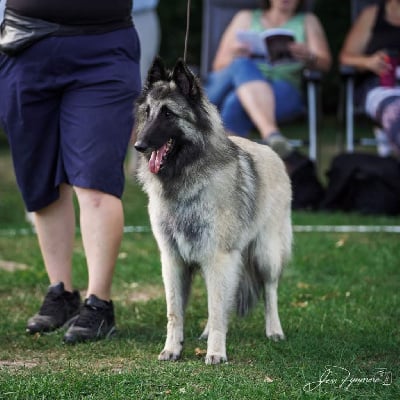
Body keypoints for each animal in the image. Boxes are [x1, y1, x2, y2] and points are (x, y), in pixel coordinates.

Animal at [133, 57, 292, 364]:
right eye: (148, 112)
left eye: (168, 114)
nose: (139, 145)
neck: (185, 179)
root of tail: (272, 154)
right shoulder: (174, 260)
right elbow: (175, 313)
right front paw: (172, 348)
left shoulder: (218, 257)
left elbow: (218, 309)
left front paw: (216, 352)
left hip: (265, 253)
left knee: (270, 290)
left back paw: (274, 330)